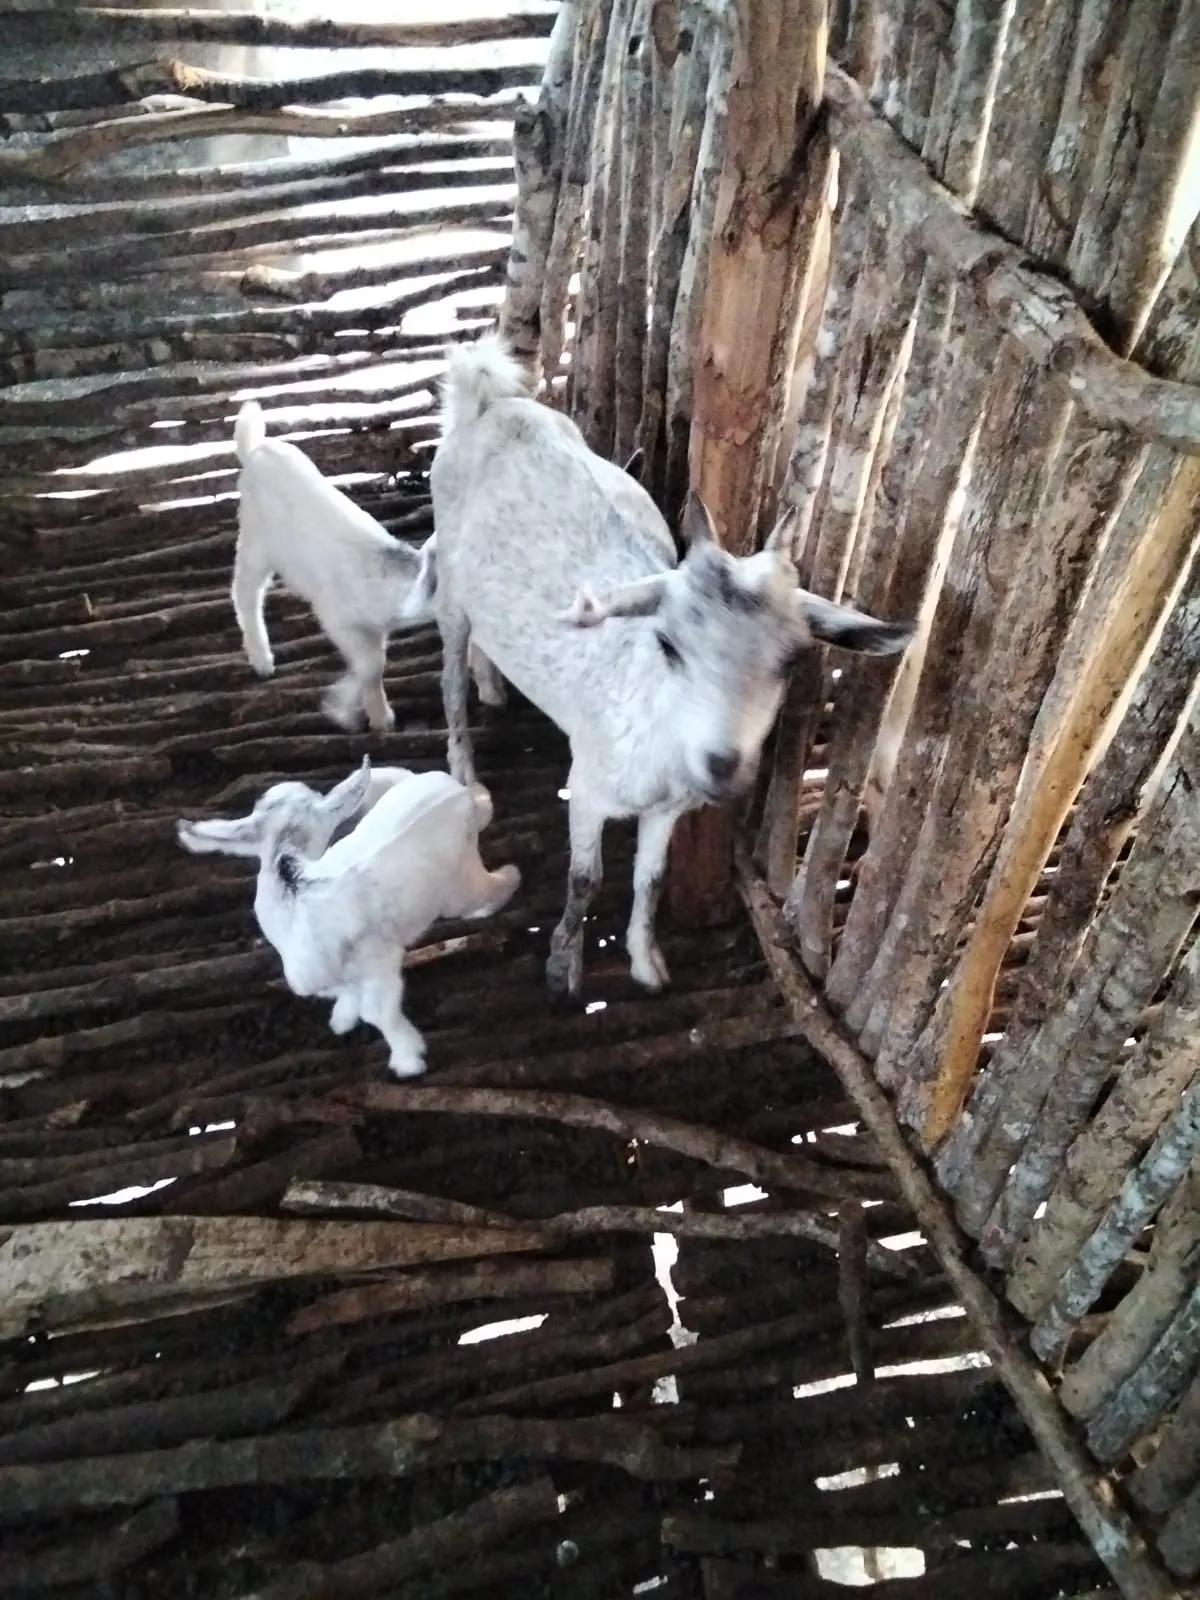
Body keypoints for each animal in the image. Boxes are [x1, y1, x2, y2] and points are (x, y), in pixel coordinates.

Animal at [176, 758, 520, 1076]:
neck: (292, 884)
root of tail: (456, 792)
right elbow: (348, 994)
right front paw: (343, 1018)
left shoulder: (380, 960)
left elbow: (378, 1012)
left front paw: (408, 1060)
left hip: (458, 887)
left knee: (496, 882)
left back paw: (501, 888)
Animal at [405, 335, 916, 1001]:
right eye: (669, 645)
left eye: (790, 661)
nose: (721, 764)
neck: (653, 714)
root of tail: (488, 404)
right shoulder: (588, 788)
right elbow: (586, 878)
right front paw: (564, 964)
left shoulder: (668, 810)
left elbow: (649, 879)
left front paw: (646, 962)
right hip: (451, 592)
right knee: (448, 680)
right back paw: (465, 772)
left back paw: (494, 685)